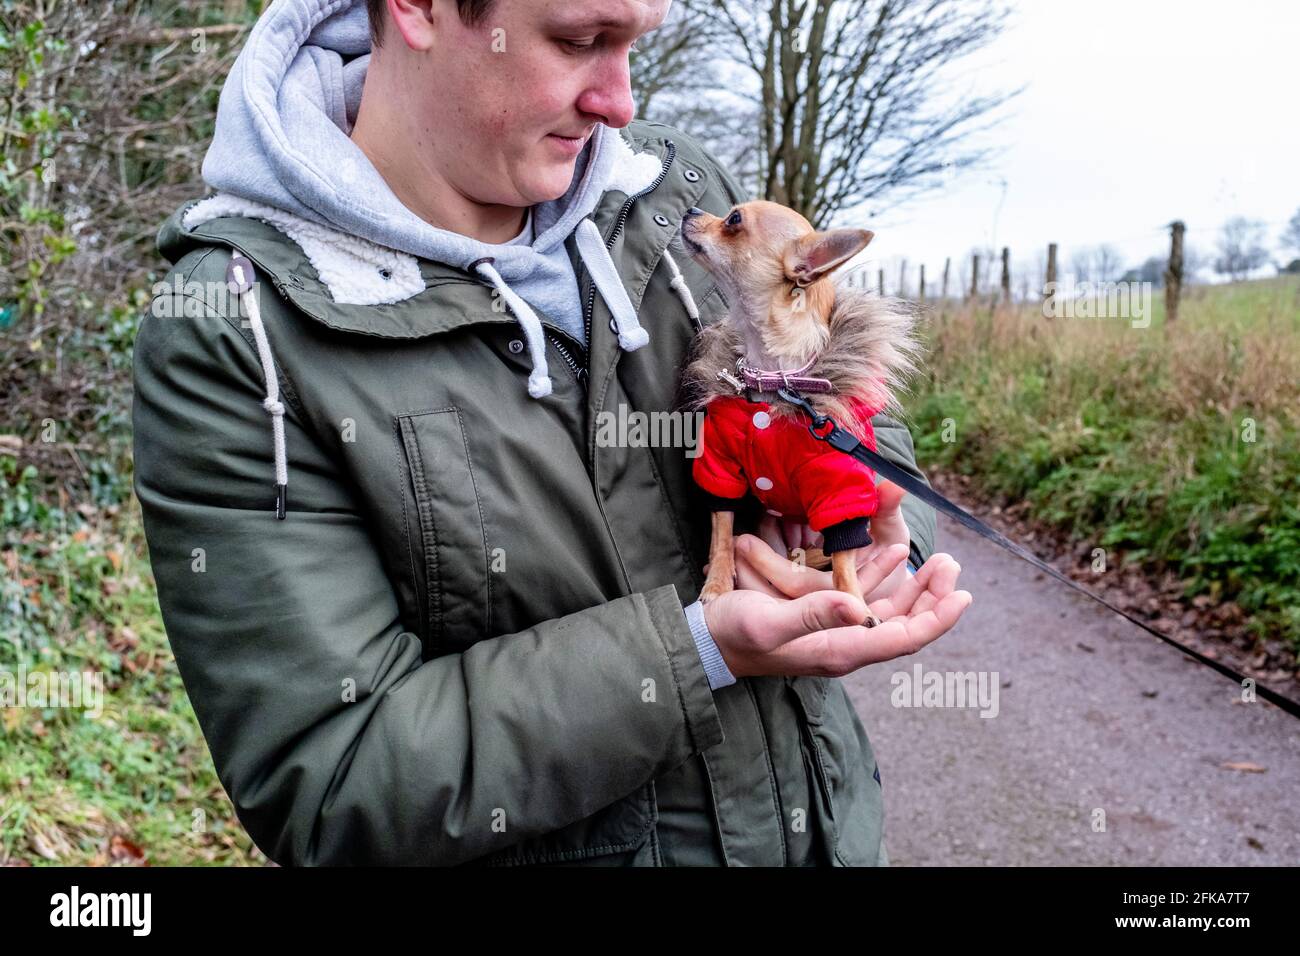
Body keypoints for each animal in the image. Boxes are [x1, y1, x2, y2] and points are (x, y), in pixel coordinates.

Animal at [676, 201, 920, 621]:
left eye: (733, 220)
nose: (690, 209)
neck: (776, 381)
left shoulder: (839, 484)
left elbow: (844, 558)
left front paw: (854, 601)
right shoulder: (720, 466)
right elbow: (722, 530)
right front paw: (719, 582)